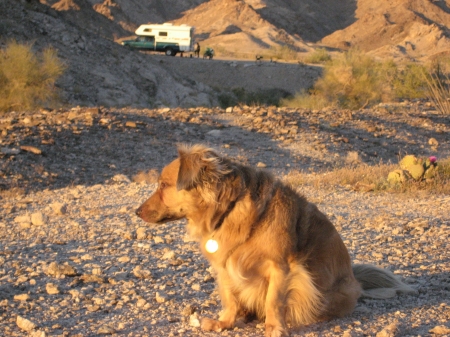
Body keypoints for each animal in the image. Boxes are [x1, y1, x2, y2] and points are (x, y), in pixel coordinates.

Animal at [136, 143, 414, 334]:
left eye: (163, 185)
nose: (137, 211)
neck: (230, 211)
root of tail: (356, 280)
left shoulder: (281, 267)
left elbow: (274, 301)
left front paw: (275, 328)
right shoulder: (224, 265)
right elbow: (229, 296)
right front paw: (225, 322)